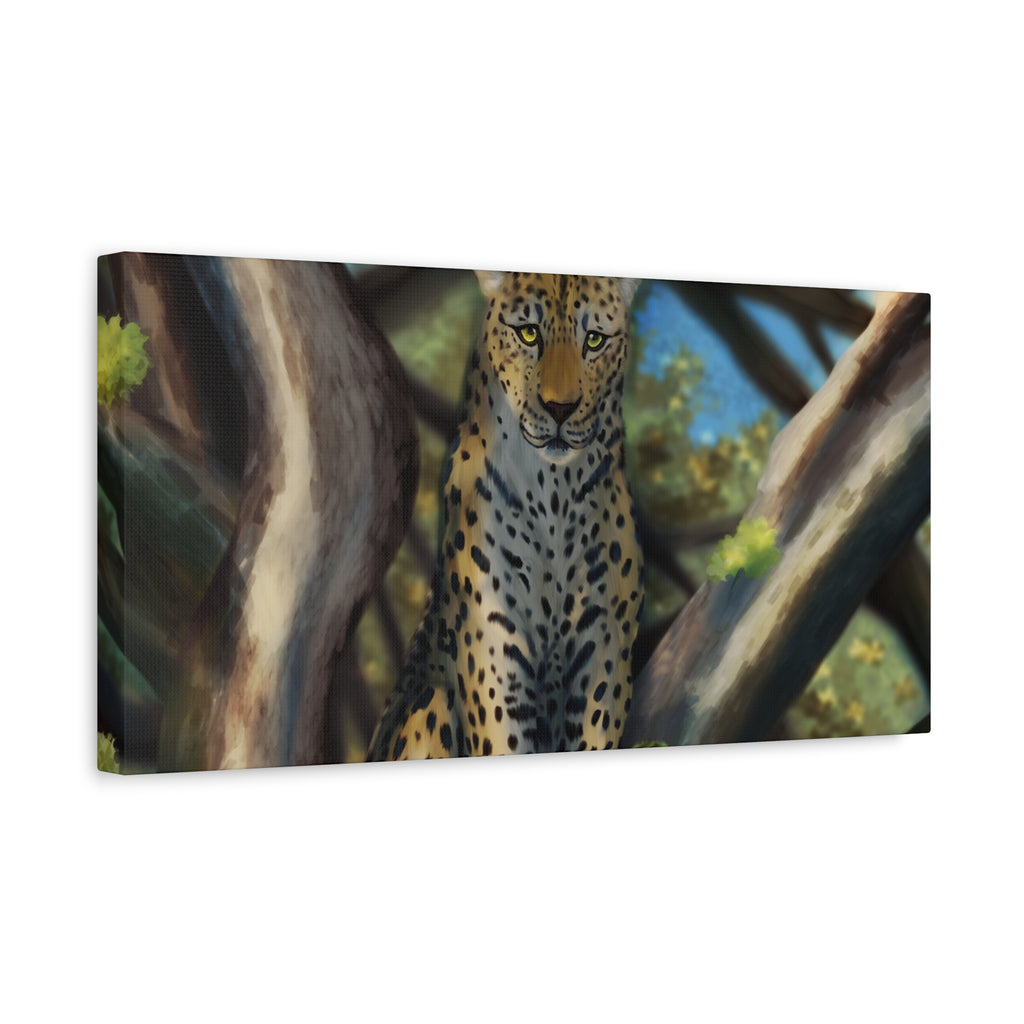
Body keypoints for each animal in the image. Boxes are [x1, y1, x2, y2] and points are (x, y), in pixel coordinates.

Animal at [367, 271, 644, 760]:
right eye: (528, 333)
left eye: (594, 340)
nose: (560, 408)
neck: (554, 491)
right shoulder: (494, 650)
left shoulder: (604, 654)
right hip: (428, 708)